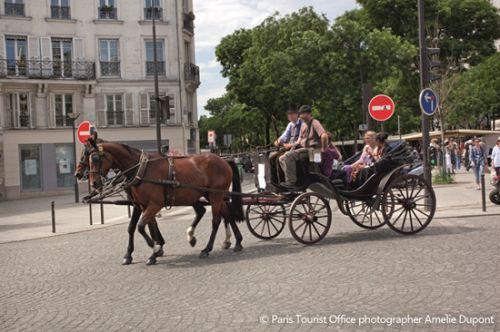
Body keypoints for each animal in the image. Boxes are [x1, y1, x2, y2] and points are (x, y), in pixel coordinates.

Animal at [86, 139, 246, 266]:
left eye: (96, 158)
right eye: (88, 158)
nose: (94, 183)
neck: (141, 169)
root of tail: (223, 160)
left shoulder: (154, 205)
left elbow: (140, 227)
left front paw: (155, 248)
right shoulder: (143, 205)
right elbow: (146, 227)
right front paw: (153, 250)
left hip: (215, 195)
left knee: (216, 220)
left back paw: (207, 249)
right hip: (210, 195)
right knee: (226, 214)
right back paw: (237, 242)